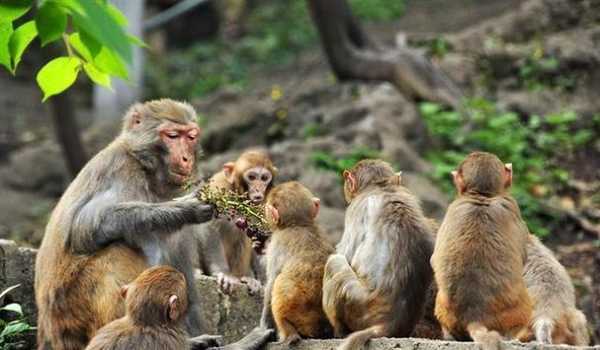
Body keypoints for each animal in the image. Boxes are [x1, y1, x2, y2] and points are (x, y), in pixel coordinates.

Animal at [33, 99, 268, 350]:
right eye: (172, 136)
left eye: (191, 136)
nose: (186, 158)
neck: (148, 171)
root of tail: (46, 332)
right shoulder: (122, 171)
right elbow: (83, 228)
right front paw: (183, 208)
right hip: (69, 314)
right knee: (116, 253)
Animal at [197, 149, 276, 294]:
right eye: (252, 177)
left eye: (264, 178)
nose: (259, 189)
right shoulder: (219, 185)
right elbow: (209, 225)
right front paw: (223, 274)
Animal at [322, 159, 434, 350]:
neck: (382, 187)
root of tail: (387, 324)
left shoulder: (355, 210)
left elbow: (345, 253)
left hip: (357, 304)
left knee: (334, 262)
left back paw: (338, 330)